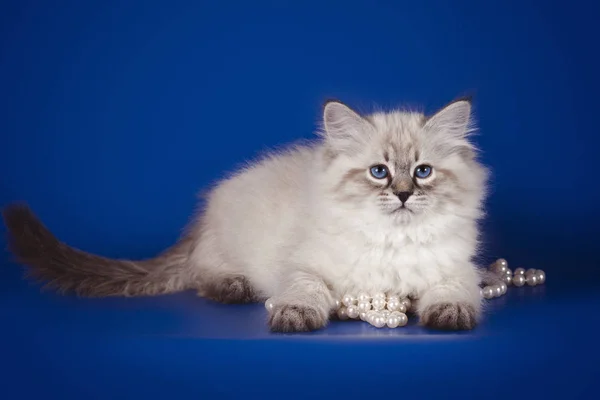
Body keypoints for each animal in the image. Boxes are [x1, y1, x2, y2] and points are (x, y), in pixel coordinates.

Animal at [4, 97, 490, 332]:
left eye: (423, 172)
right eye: (379, 172)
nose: (404, 194)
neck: (391, 242)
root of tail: (205, 214)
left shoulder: (457, 269)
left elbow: (455, 291)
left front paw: (449, 313)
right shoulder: (304, 265)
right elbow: (306, 289)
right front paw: (295, 314)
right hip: (228, 246)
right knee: (203, 273)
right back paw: (233, 286)